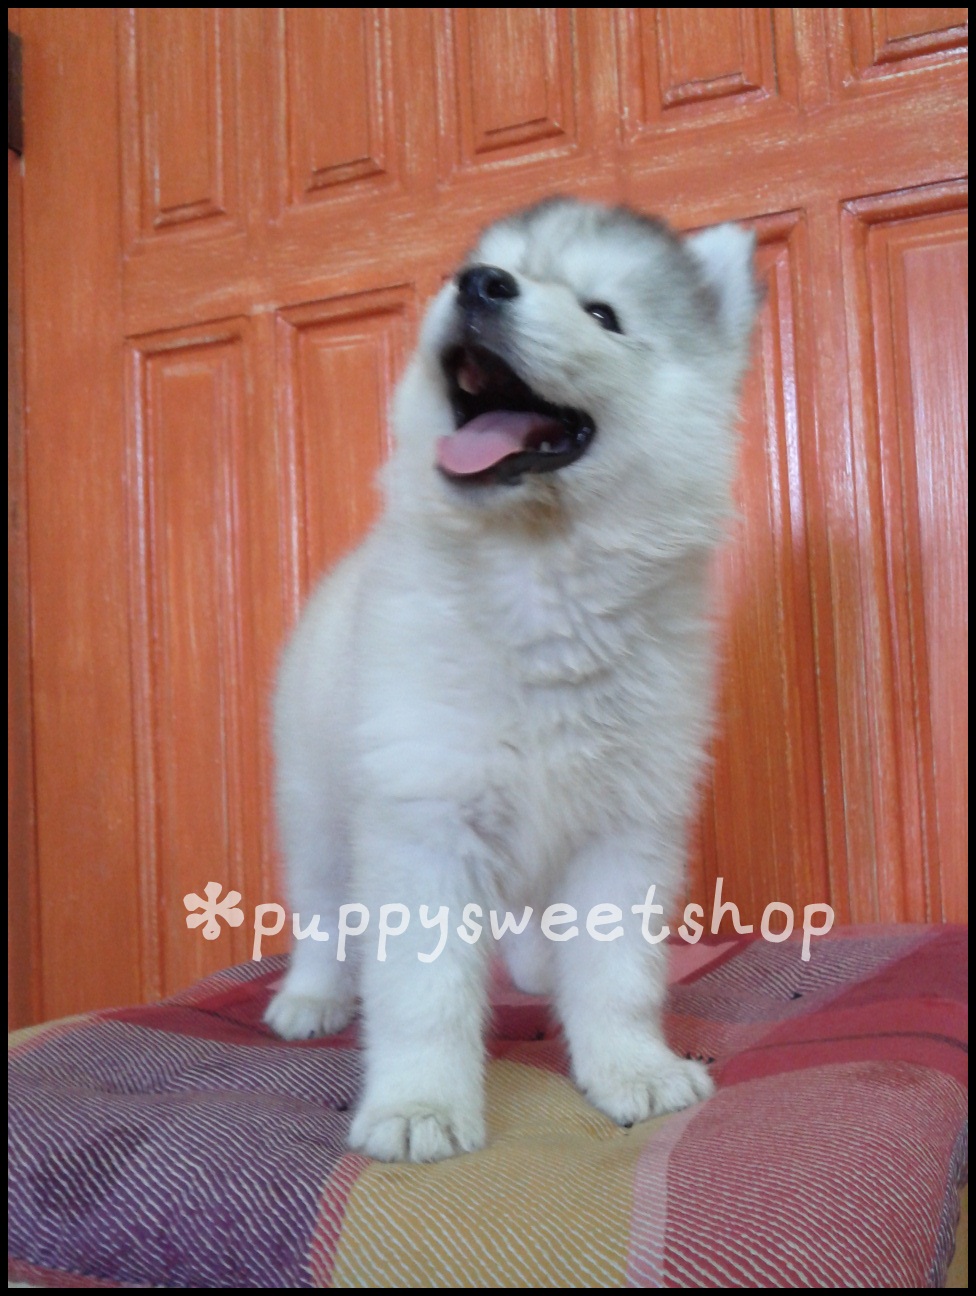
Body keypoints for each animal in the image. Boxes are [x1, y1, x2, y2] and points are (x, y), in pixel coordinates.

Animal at [265, 196, 759, 1162]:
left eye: (603, 314)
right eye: (488, 269)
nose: (480, 285)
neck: (540, 570)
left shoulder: (625, 829)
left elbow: (617, 975)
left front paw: (630, 1068)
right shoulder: (423, 820)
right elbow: (422, 991)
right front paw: (419, 1104)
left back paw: (535, 964)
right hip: (317, 804)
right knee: (322, 911)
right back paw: (311, 996)